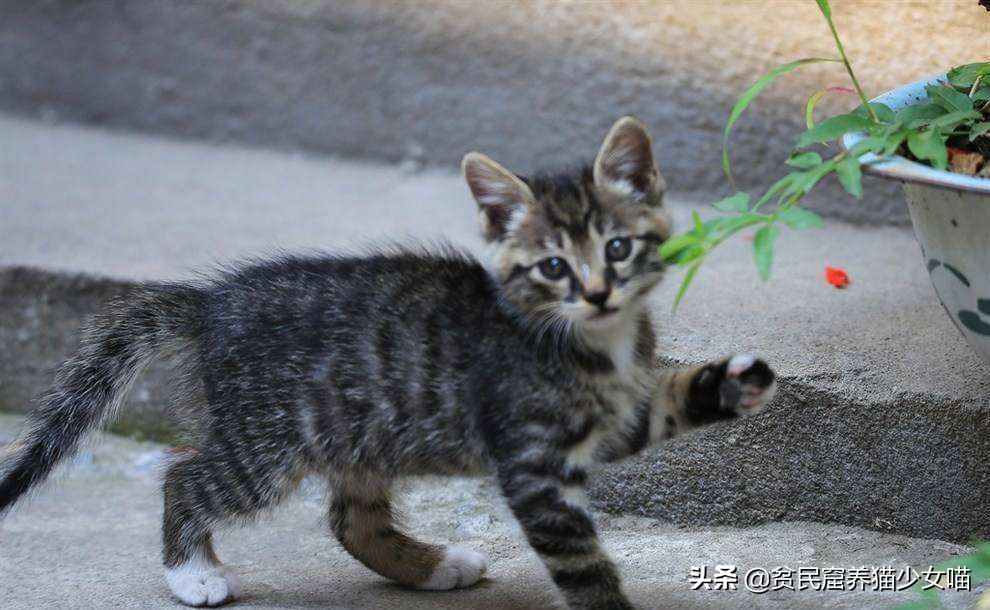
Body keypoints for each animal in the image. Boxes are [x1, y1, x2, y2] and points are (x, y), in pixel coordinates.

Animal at [0, 116, 776, 604]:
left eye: (618, 248)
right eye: (553, 266)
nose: (596, 292)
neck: (592, 342)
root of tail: (211, 302)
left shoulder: (615, 417)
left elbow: (667, 401)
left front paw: (735, 383)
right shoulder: (533, 465)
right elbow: (584, 567)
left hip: (357, 430)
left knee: (352, 520)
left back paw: (432, 567)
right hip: (268, 444)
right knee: (186, 476)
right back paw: (192, 574)